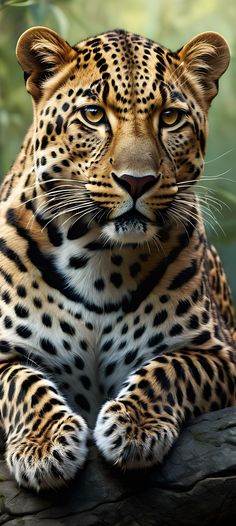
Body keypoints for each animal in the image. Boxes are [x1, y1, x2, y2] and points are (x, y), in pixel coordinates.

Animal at [0, 26, 235, 492]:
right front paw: (43, 445)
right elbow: (22, 384)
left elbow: (170, 367)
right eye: (93, 114)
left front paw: (134, 426)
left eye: (170, 118)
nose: (136, 181)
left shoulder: (220, 353)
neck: (97, 254)